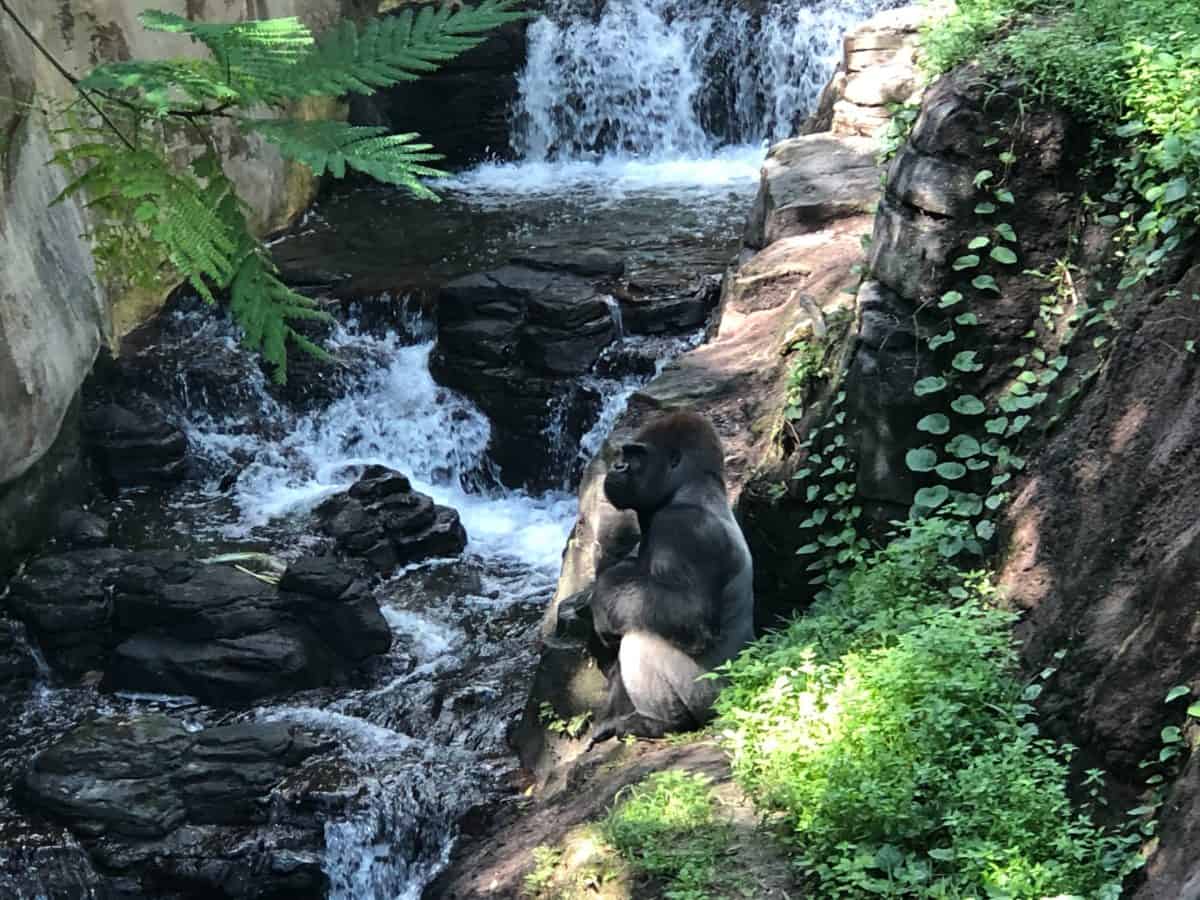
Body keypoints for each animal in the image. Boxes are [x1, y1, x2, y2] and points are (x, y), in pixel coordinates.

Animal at [586, 411, 754, 745]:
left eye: (636, 456)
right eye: (624, 454)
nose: (617, 466)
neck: (689, 487)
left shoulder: (682, 528)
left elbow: (685, 612)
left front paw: (602, 593)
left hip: (711, 699)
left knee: (640, 636)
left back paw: (659, 723)